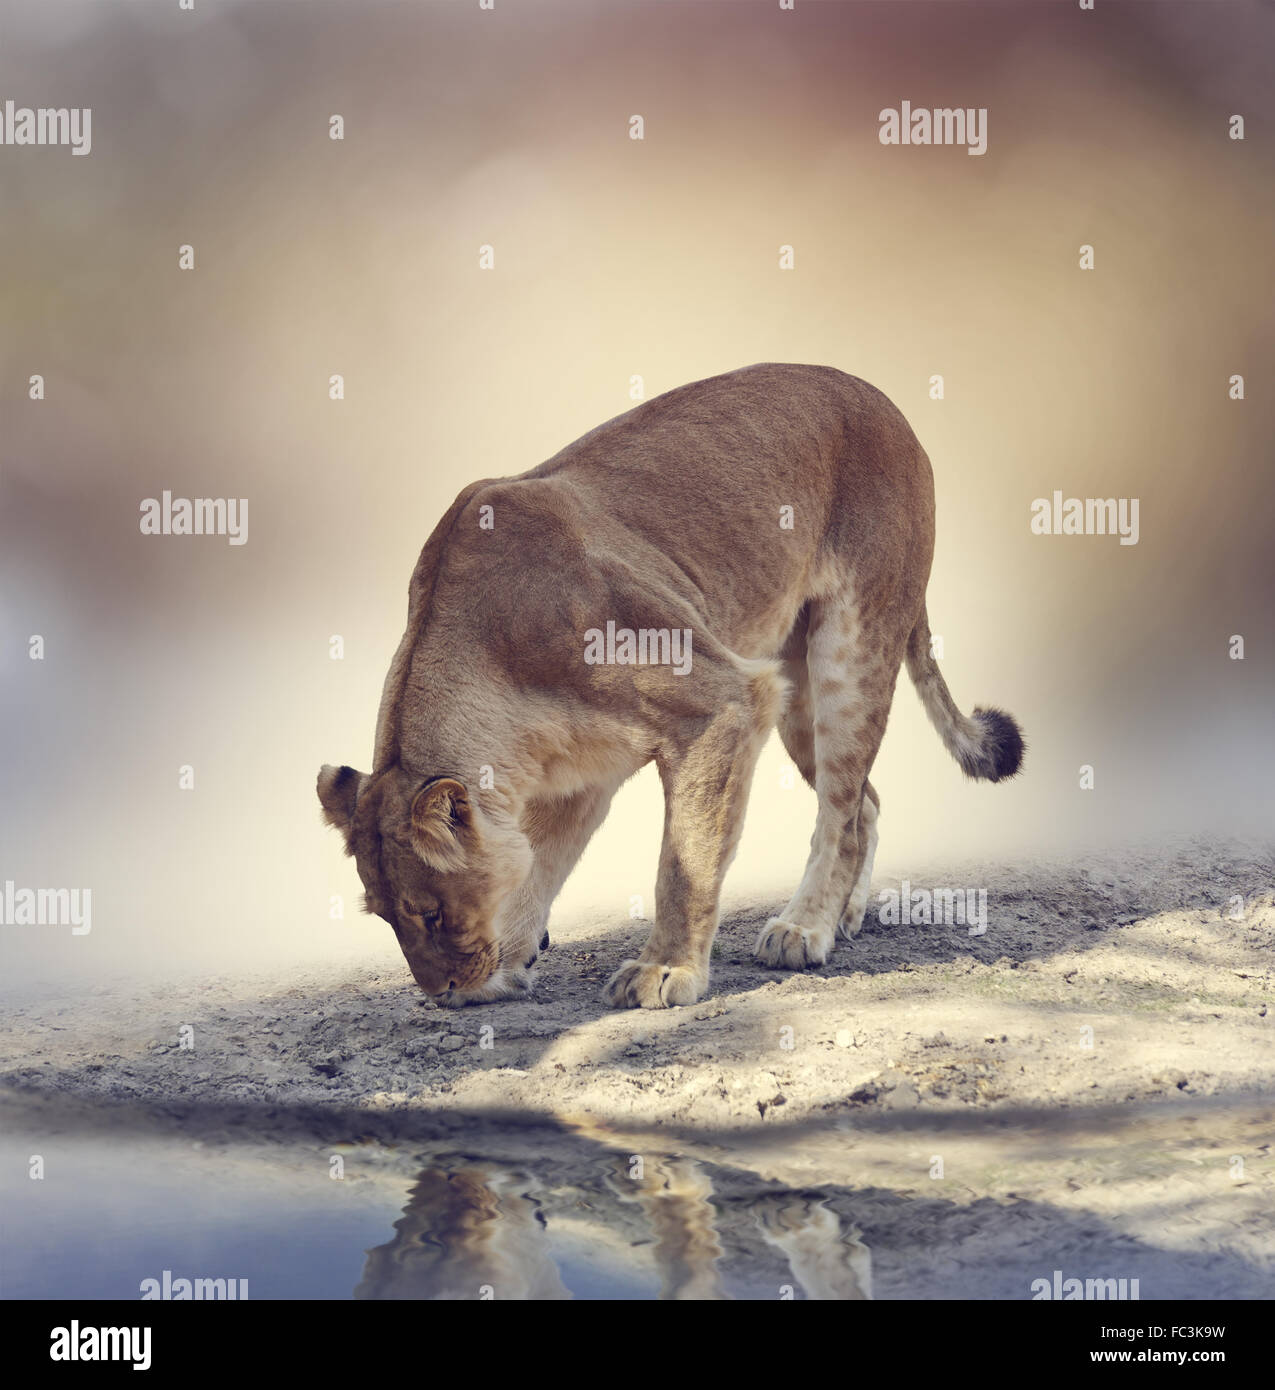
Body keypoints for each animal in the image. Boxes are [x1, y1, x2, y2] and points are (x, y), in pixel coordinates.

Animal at [318, 363, 1023, 1009]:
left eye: (431, 912)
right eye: (386, 917)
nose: (443, 995)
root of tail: (883, 398)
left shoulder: (723, 702)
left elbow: (684, 859)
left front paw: (663, 970)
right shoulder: (579, 771)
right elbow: (540, 861)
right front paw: (513, 958)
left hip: (850, 652)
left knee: (842, 814)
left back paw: (803, 929)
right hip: (797, 690)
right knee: (864, 803)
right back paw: (843, 917)